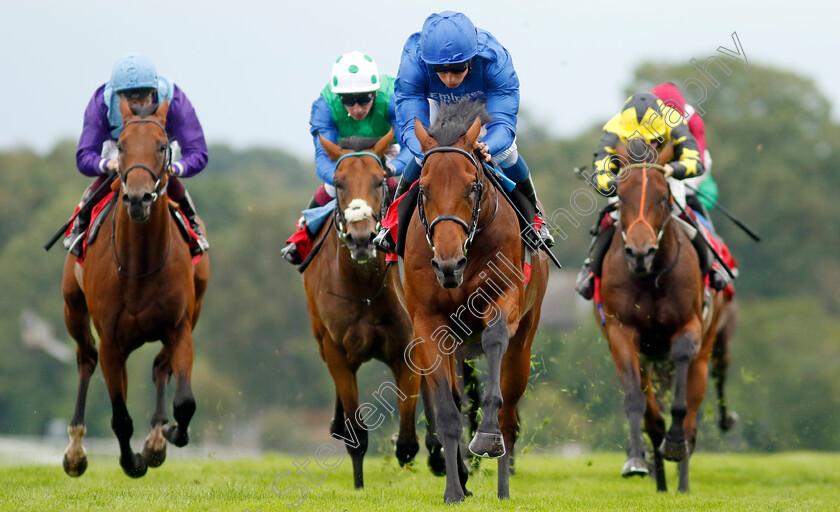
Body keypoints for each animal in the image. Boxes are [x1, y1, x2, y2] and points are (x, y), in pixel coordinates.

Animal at [60, 99, 208, 476]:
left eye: (162, 146)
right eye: (123, 146)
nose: (139, 198)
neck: (140, 264)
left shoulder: (179, 327)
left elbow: (185, 401)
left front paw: (166, 435)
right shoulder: (112, 343)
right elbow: (120, 418)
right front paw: (132, 462)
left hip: (194, 310)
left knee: (159, 367)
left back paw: (156, 437)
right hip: (73, 309)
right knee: (86, 358)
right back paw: (75, 450)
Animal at [300, 129, 424, 488]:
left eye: (379, 180)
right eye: (338, 182)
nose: (361, 237)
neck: (365, 290)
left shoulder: (407, 347)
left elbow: (408, 441)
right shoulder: (337, 352)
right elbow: (357, 435)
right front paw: (358, 486)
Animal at [402, 101, 552, 504]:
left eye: (472, 186)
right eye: (423, 189)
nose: (448, 264)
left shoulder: (503, 300)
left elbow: (495, 344)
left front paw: (485, 437)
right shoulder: (427, 322)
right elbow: (447, 412)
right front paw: (454, 490)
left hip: (524, 343)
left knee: (510, 417)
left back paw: (502, 486)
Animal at [596, 162, 720, 494]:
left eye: (664, 199)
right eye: (622, 198)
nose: (640, 253)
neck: (649, 277)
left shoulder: (688, 326)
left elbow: (681, 401)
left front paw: (674, 444)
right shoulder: (621, 333)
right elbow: (636, 402)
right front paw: (636, 461)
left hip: (704, 354)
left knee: (691, 423)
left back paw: (682, 483)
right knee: (653, 422)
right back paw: (662, 484)